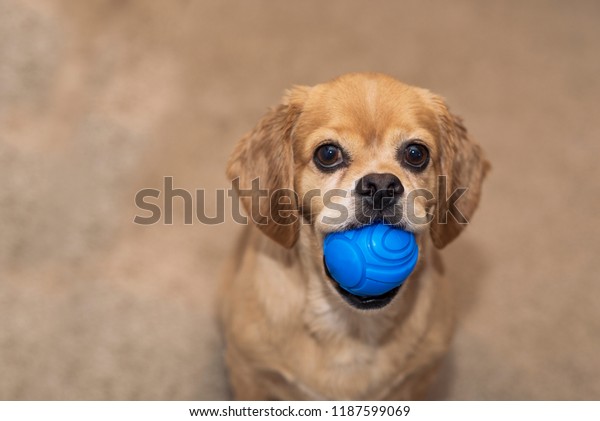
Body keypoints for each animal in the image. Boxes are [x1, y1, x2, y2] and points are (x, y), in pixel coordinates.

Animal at [220, 73, 488, 400]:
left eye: (416, 154)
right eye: (328, 153)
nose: (381, 185)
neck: (351, 326)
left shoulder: (420, 380)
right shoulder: (249, 374)